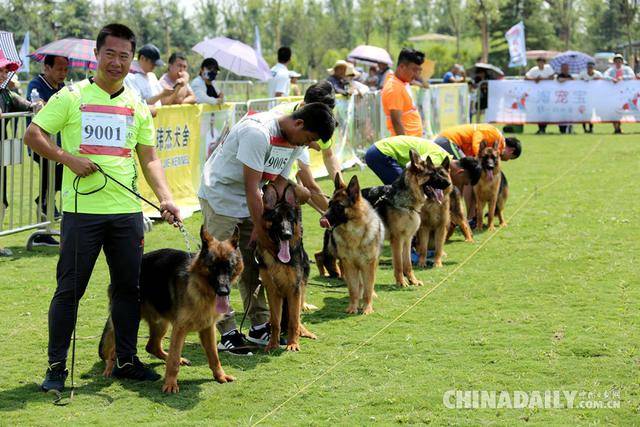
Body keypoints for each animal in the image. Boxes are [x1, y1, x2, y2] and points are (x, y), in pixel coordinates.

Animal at [99, 227, 241, 394]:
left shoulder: (207, 328)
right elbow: (173, 361)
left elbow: (214, 356)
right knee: (114, 350)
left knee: (151, 346)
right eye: (212, 267)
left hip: (161, 323)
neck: (198, 286)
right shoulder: (179, 329)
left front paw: (220, 376)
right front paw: (170, 384)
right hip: (127, 320)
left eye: (229, 267)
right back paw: (110, 367)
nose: (223, 292)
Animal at [255, 184, 316, 352]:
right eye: (276, 219)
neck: (279, 259)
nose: (287, 235)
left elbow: (294, 320)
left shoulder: (294, 290)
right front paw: (272, 344)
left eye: (290, 219)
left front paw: (293, 343)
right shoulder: (272, 290)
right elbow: (276, 322)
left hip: (301, 289)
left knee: (297, 316)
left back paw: (304, 332)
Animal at [320, 174, 384, 314]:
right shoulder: (349, 265)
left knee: (368, 285)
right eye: (329, 204)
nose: (322, 220)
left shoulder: (368, 265)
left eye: (339, 206)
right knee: (359, 285)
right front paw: (353, 307)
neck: (354, 234)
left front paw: (367, 308)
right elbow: (353, 290)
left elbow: (368, 289)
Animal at [362, 150, 432, 288]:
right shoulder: (397, 240)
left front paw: (413, 281)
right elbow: (399, 264)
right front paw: (401, 282)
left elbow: (408, 264)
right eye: (434, 173)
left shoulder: (407, 239)